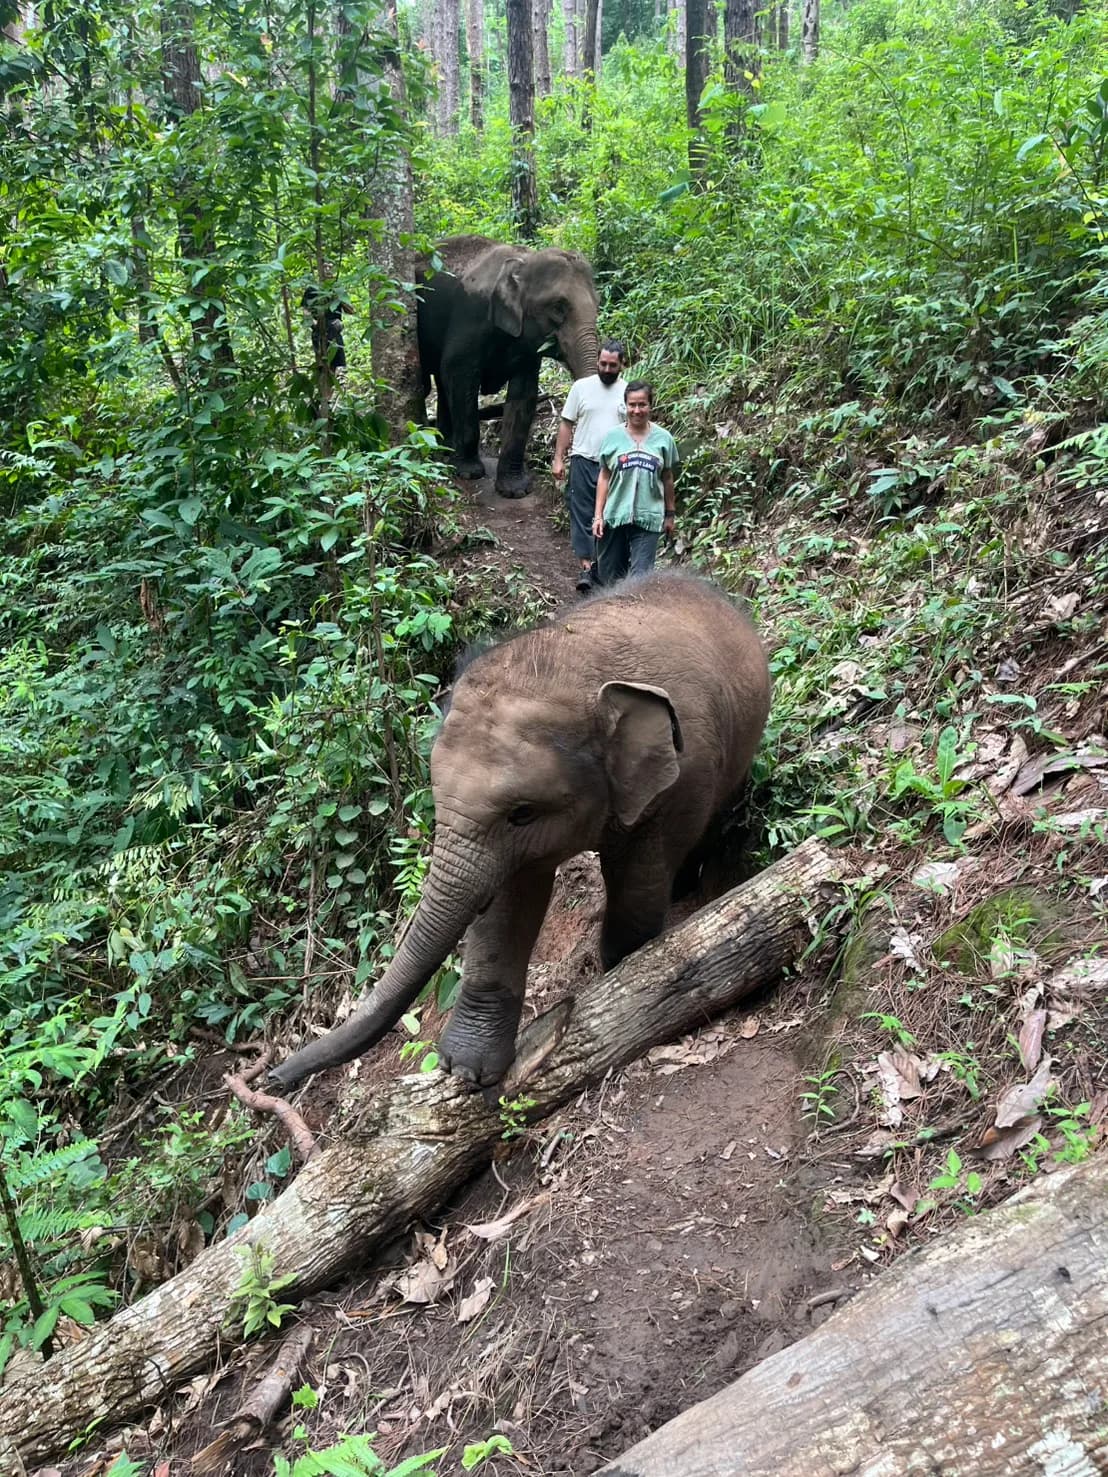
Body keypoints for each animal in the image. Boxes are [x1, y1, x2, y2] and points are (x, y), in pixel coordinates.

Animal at [270, 573, 771, 1092]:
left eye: (523, 813)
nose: (272, 1078)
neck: (578, 667)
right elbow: (509, 905)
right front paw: (467, 1071)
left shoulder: (679, 780)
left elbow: (636, 881)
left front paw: (623, 980)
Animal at [417, 235, 600, 499]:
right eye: (558, 307)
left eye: (598, 304)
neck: (524, 259)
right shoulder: (470, 317)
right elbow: (459, 376)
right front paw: (469, 472)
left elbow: (524, 395)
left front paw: (515, 489)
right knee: (427, 383)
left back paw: (445, 447)